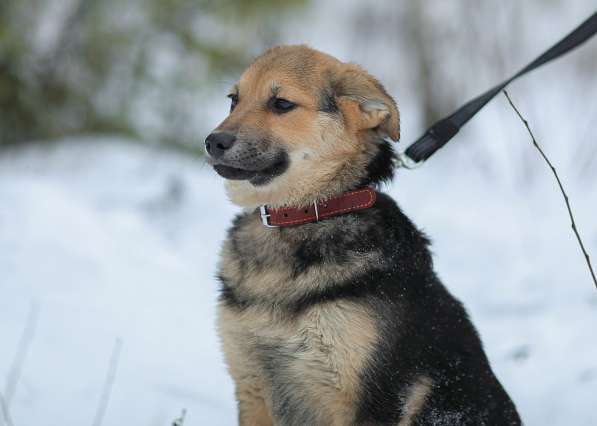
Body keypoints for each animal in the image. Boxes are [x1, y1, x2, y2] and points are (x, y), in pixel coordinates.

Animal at [206, 45, 520, 424]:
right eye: (233, 100)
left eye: (281, 104)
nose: (212, 142)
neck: (307, 215)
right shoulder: (251, 386)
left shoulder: (372, 399)